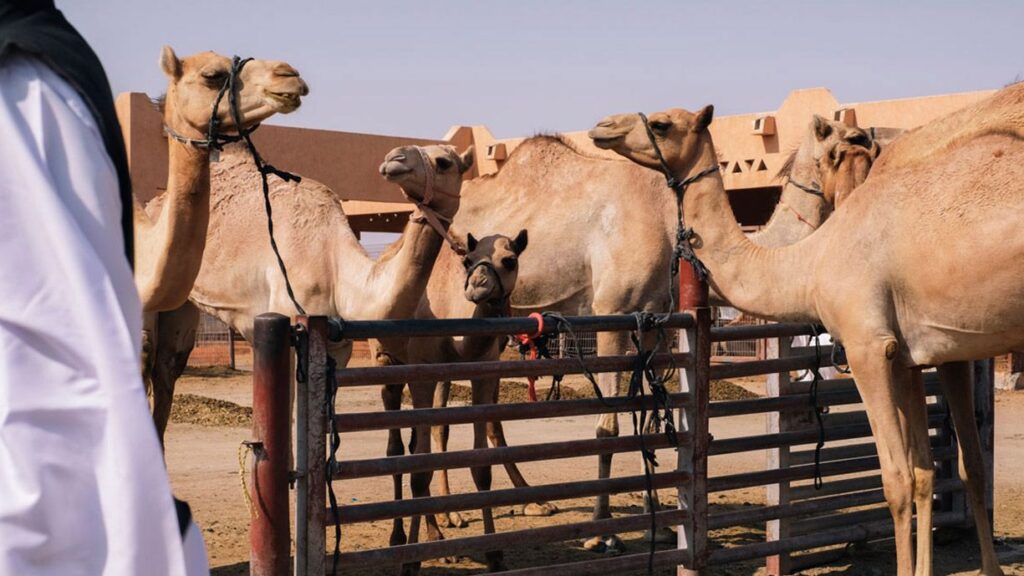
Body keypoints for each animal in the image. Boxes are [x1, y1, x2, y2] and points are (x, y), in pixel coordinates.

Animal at [144, 143, 471, 444]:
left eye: (444, 162)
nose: (395, 158)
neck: (336, 269)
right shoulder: (289, 332)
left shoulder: (338, 349)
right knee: (148, 354)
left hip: (182, 299)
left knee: (168, 366)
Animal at [585, 85, 1024, 573]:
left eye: (662, 124)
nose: (602, 126)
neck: (812, 259)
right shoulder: (914, 353)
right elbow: (938, 471)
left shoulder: (868, 345)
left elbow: (898, 481)